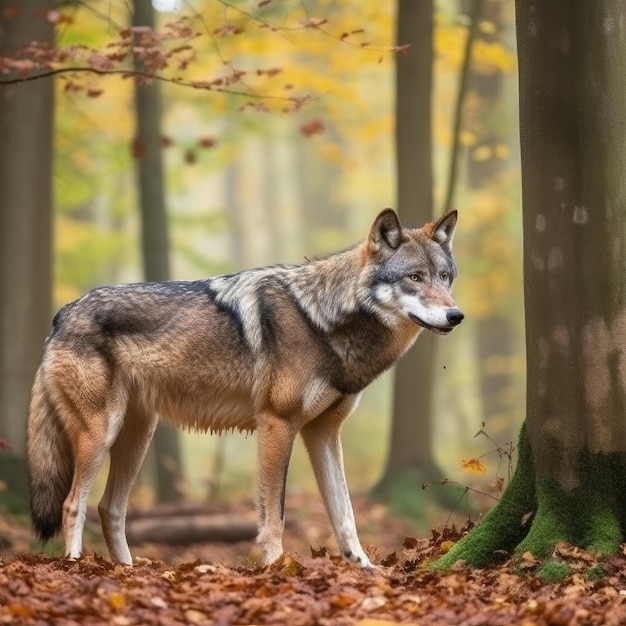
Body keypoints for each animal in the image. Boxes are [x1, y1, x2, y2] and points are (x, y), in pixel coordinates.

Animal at [26, 207, 460, 568]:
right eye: (414, 277)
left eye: (445, 277)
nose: (457, 315)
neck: (322, 319)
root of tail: (63, 313)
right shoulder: (277, 424)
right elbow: (275, 516)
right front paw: (276, 569)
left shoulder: (323, 432)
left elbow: (345, 515)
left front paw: (365, 569)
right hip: (101, 434)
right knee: (73, 504)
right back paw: (76, 566)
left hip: (136, 439)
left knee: (110, 509)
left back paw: (127, 570)